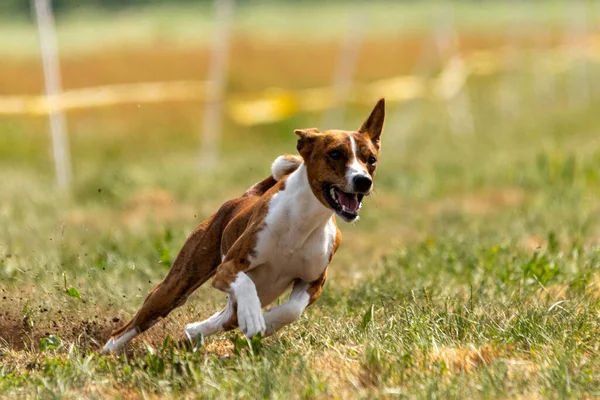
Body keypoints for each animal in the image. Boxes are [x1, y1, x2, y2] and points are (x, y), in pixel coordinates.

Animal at [102, 98, 384, 352]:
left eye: (371, 159)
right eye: (335, 153)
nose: (363, 181)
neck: (303, 222)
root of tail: (247, 196)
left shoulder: (313, 282)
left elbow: (291, 310)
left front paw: (265, 323)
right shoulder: (228, 267)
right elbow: (245, 284)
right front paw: (255, 319)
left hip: (265, 288)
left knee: (228, 316)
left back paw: (198, 330)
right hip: (177, 284)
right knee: (130, 327)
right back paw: (107, 351)